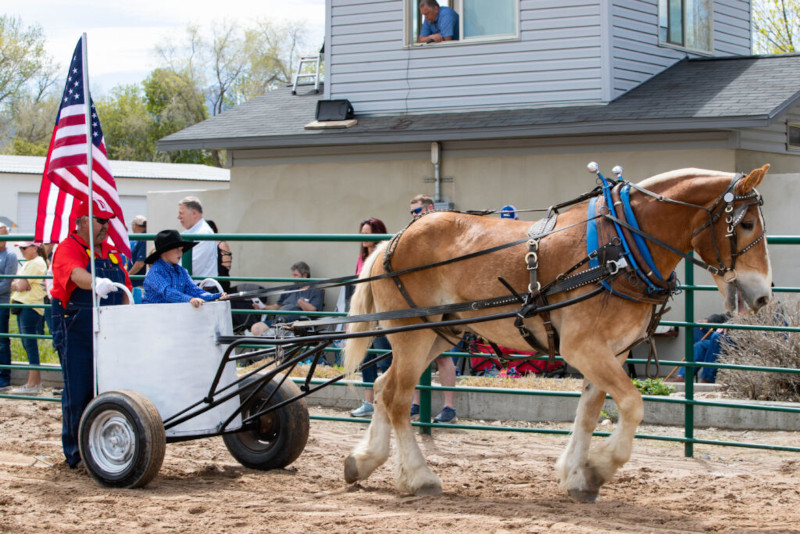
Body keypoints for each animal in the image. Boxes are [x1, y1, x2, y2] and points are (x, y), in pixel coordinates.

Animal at [340, 165, 772, 504]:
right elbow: (632, 405)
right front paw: (599, 467)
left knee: (382, 385)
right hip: (412, 335)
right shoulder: (582, 347)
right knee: (397, 398)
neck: (623, 248)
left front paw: (577, 477)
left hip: (438, 334)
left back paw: (363, 462)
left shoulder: (612, 352)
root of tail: (392, 241)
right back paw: (420, 478)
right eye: (746, 224)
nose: (763, 295)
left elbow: (590, 411)